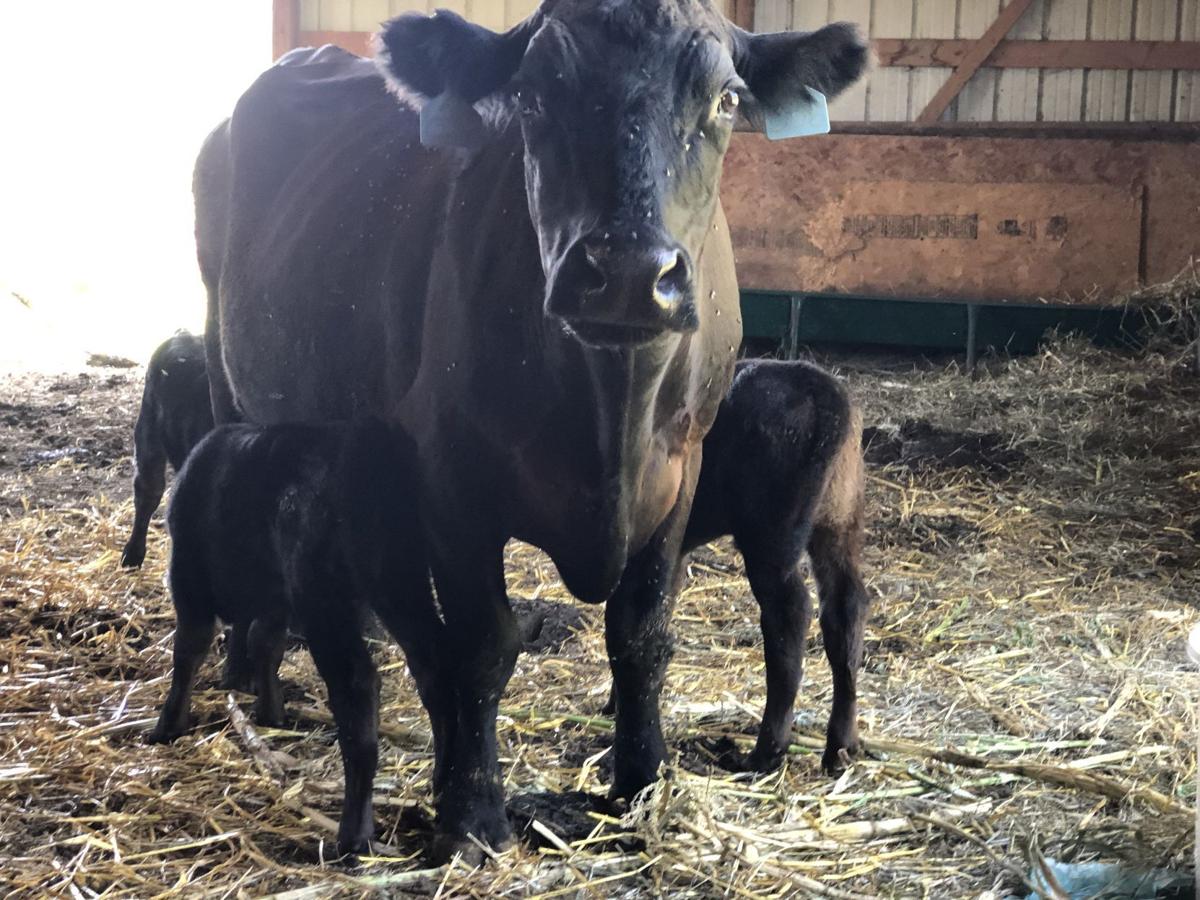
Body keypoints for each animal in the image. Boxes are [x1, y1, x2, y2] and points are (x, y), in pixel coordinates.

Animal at [149, 422, 439, 859]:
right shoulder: (274, 598)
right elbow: (265, 644)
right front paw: (271, 712)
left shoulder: (189, 577)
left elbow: (189, 649)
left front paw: (169, 726)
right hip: (403, 585)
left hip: (321, 592)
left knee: (356, 685)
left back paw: (353, 832)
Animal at [201, 0, 868, 859]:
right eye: (531, 95)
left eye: (725, 99)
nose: (628, 273)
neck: (611, 414)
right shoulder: (452, 488)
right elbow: (485, 646)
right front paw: (474, 815)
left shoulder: (683, 471)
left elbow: (641, 636)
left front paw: (641, 782)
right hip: (233, 392)